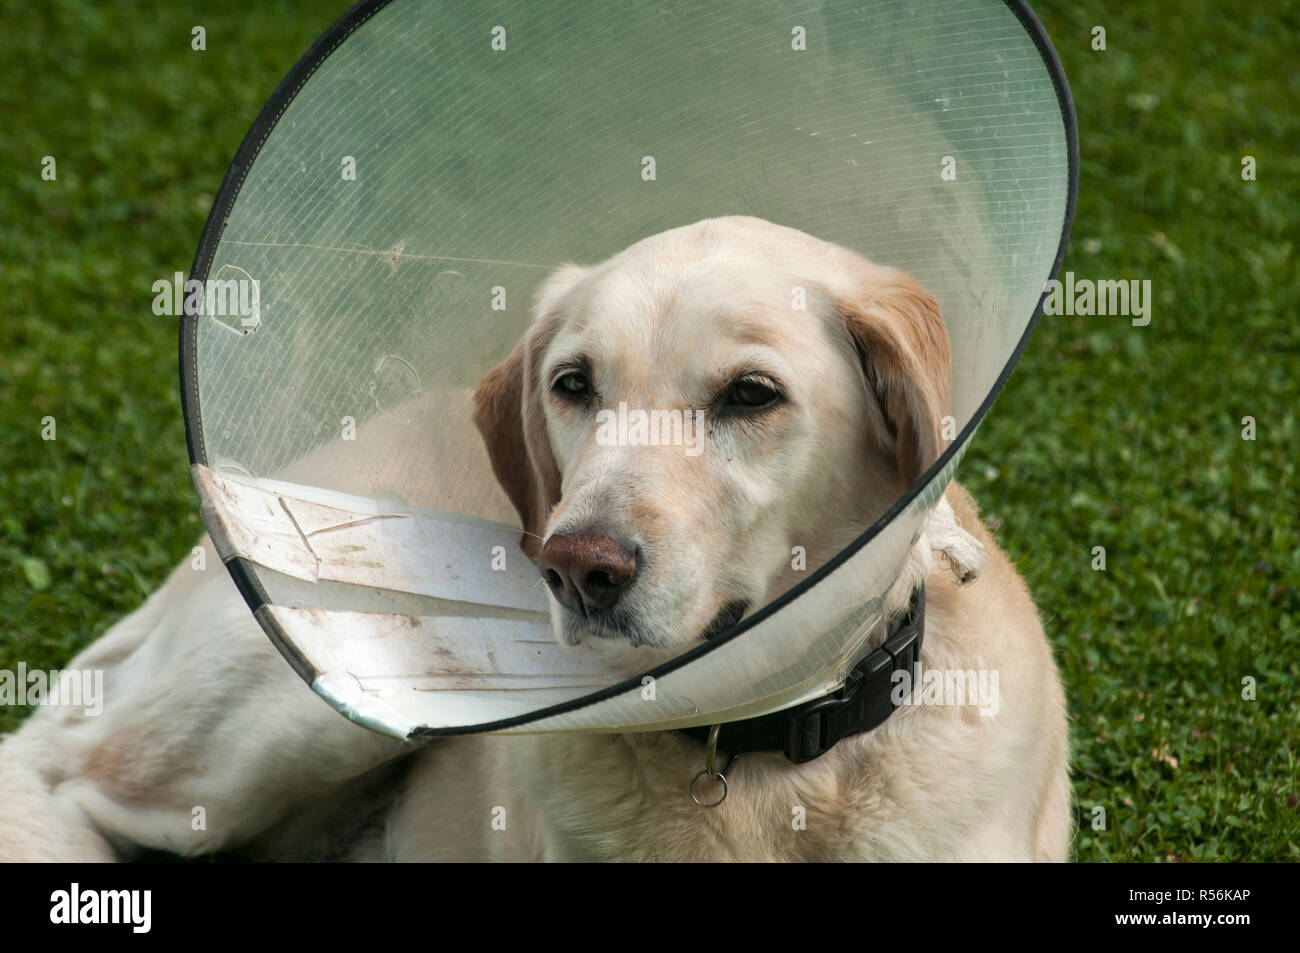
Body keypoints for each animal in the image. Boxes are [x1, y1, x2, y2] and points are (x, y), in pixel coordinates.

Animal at [0, 215, 1071, 863]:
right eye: (574, 383)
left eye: (752, 394)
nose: (575, 567)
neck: (764, 763)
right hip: (337, 682)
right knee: (56, 774)